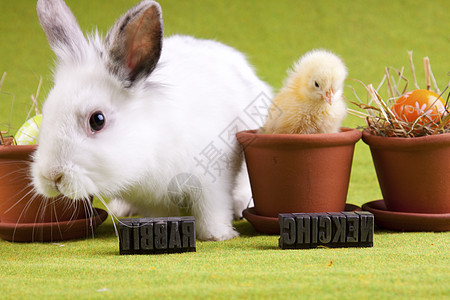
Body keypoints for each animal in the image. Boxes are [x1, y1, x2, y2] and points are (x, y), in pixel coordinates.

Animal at [32, 0, 270, 240]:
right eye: (46, 112)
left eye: (97, 120)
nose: (51, 176)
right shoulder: (151, 197)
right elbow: (163, 213)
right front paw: (163, 230)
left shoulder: (213, 179)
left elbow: (212, 209)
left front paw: (218, 235)